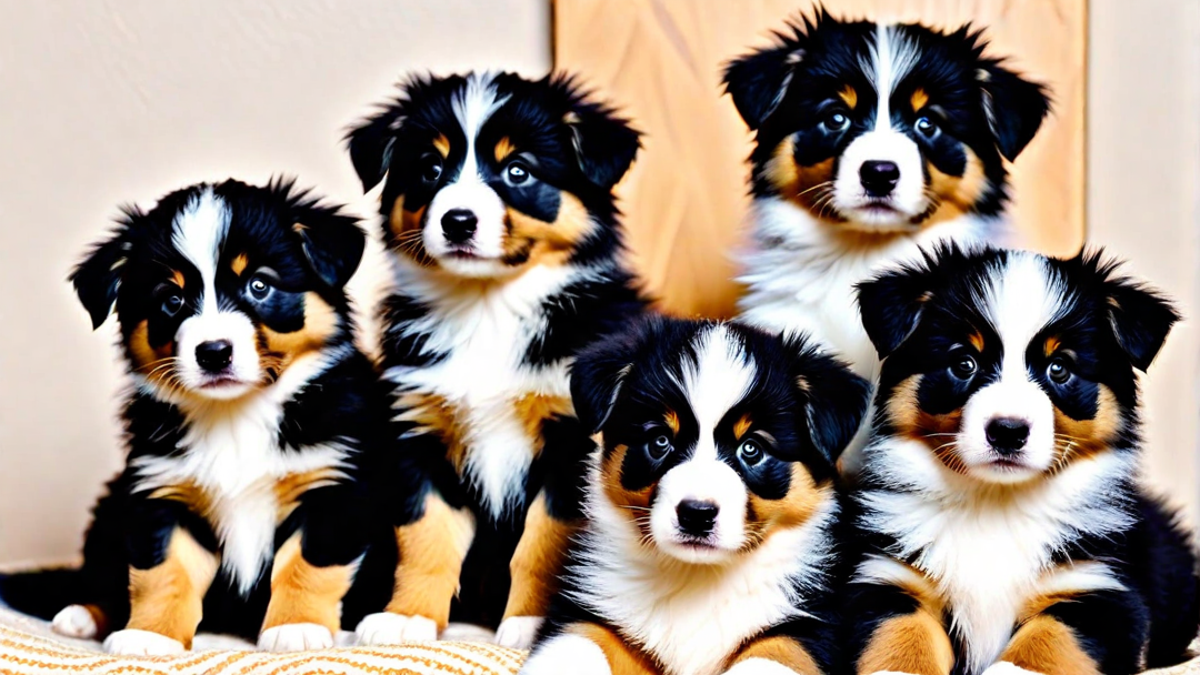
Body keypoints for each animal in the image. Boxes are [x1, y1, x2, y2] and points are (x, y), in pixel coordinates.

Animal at [0, 177, 384, 653]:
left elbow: (307, 567)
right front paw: (148, 635)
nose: (214, 352)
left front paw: (296, 627)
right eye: (172, 300)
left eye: (259, 285)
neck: (236, 415)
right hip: (112, 502)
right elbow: (162, 574)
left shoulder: (332, 487)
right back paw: (82, 614)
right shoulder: (164, 494)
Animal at [343, 69, 652, 648]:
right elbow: (425, 538)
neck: (486, 309)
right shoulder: (419, 434)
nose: (458, 220)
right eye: (430, 169)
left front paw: (530, 623)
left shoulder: (569, 441)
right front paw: (406, 618)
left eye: (518, 170)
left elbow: (542, 544)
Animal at [525, 317, 873, 672]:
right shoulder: (587, 604)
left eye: (752, 448)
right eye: (660, 441)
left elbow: (775, 654)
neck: (697, 575)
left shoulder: (810, 622)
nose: (697, 514)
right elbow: (579, 642)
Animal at [849, 246, 1195, 672]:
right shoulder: (892, 578)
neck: (996, 503)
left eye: (1059, 367)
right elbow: (898, 638)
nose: (1008, 431)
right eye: (964, 363)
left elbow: (1048, 642)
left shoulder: (1100, 588)